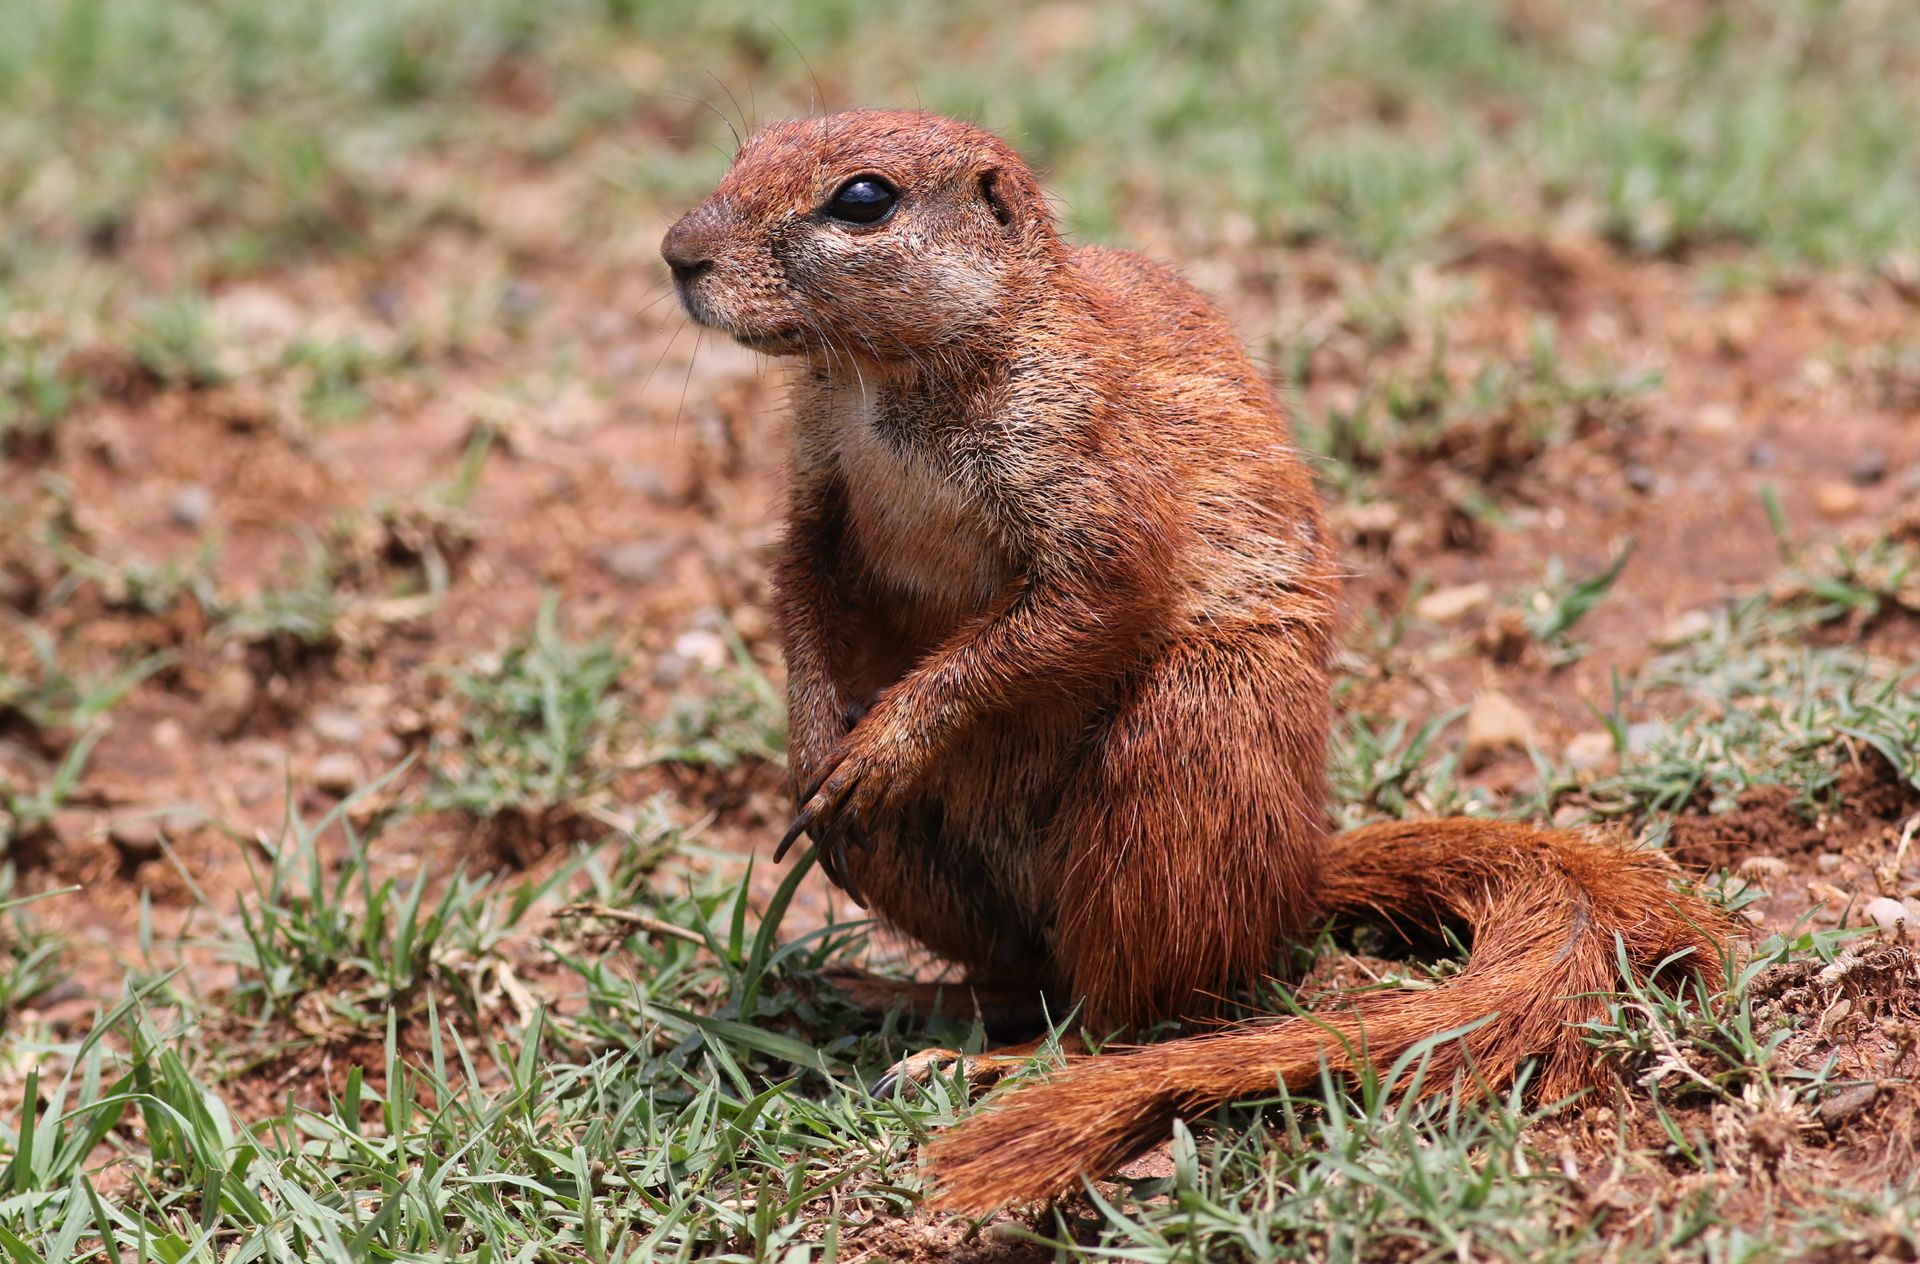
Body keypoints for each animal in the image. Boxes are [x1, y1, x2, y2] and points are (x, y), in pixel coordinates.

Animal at [661, 109, 1726, 1214]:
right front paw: (813, 743)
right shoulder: (816, 472)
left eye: (864, 198)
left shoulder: (1087, 456)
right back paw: (899, 994)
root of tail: (1301, 875)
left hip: (1186, 748)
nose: (677, 253)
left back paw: (991, 1062)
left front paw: (882, 744)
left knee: (1117, 1013)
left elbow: (1086, 599)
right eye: (750, 146)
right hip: (925, 862)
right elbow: (798, 579)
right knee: (1020, 973)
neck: (888, 381)